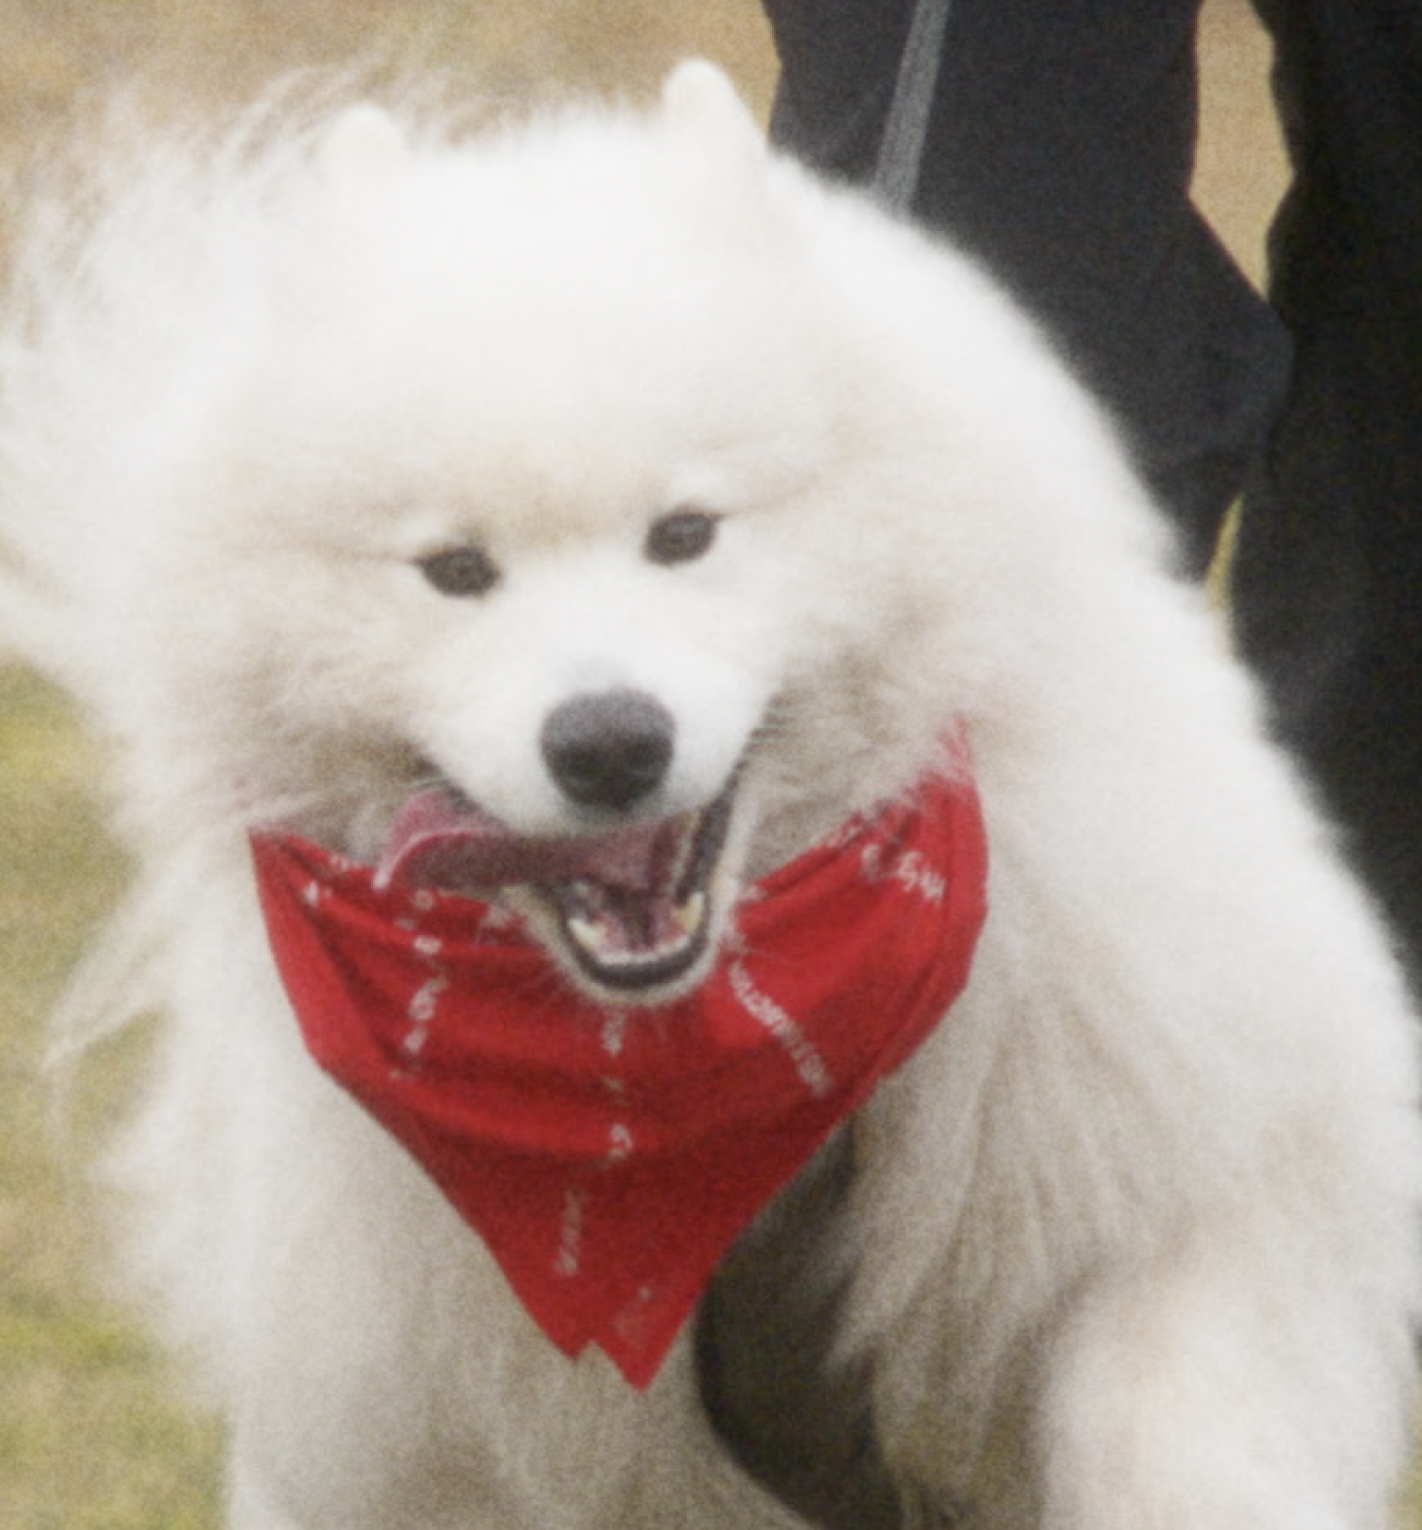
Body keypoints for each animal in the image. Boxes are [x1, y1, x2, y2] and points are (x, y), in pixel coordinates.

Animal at [2, 61, 1419, 1530]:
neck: (700, 1071)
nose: (609, 742)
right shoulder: (436, 1430)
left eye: (684, 535)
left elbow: (1178, 1433)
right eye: (454, 571)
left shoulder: (1191, 1201)